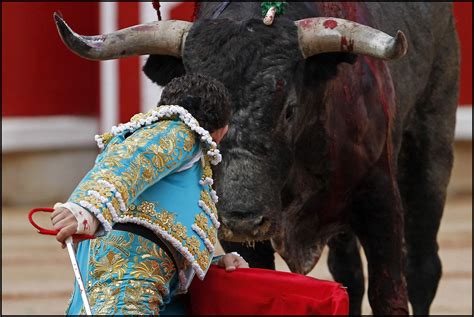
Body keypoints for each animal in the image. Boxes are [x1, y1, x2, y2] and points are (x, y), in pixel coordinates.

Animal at [54, 1, 460, 314]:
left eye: (289, 111)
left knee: (423, 267)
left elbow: (390, 293)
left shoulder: (380, 202)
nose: (244, 219)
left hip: (431, 144)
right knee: (349, 274)